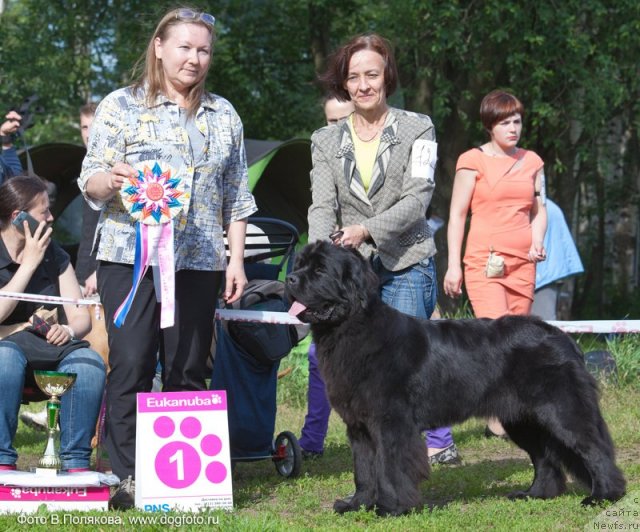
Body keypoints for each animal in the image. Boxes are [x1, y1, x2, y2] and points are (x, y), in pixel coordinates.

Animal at [284, 242, 624, 516]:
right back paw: (535, 494)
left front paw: (393, 508)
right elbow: (364, 470)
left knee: (594, 449)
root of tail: (563, 338)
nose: (289, 279)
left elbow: (390, 467)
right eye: (300, 265)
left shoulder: (391, 422)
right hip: (522, 419)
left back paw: (605, 496)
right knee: (545, 457)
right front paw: (357, 505)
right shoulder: (359, 426)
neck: (353, 328)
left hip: (563, 411)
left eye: (320, 270)